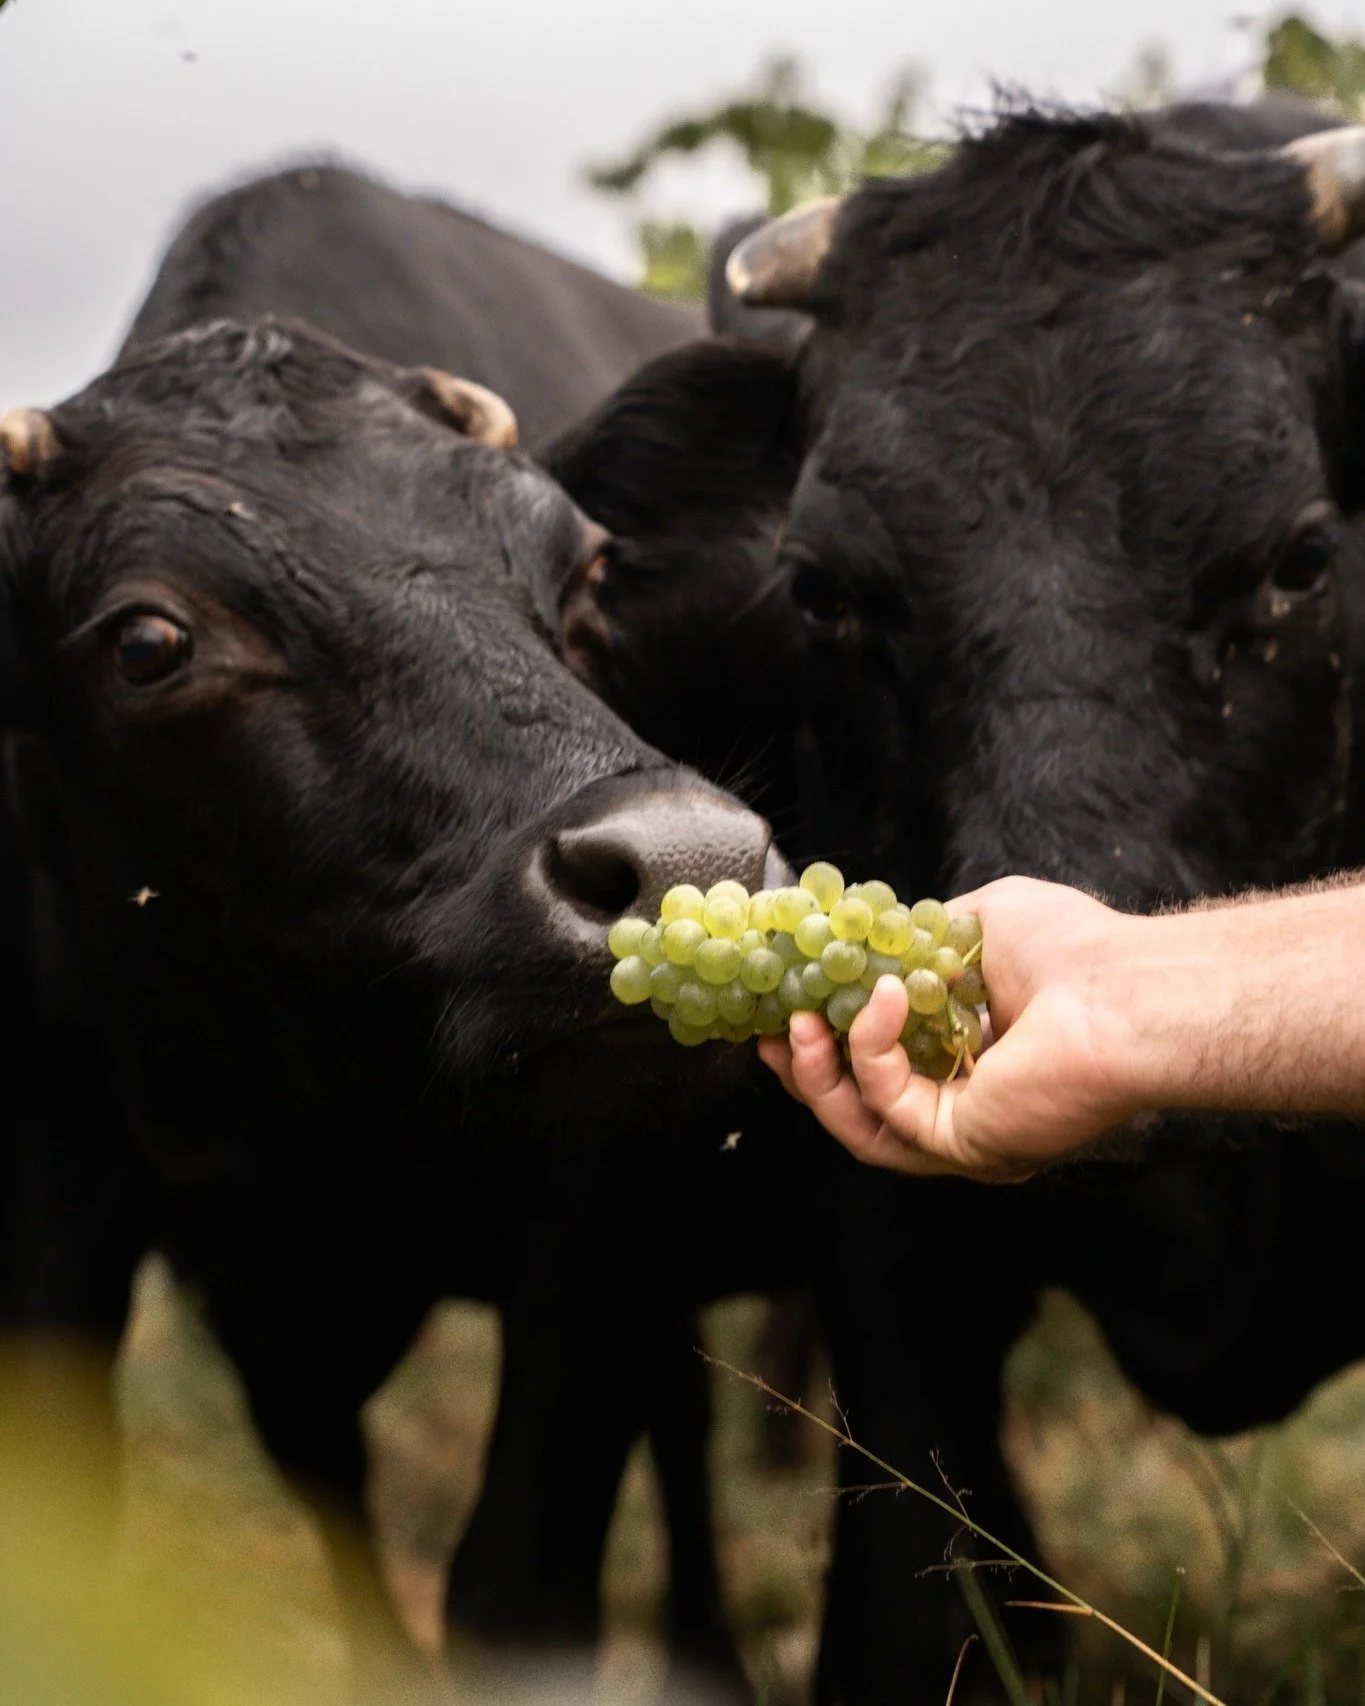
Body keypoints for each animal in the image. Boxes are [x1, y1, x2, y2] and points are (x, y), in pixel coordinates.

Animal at [0, 318, 783, 1697]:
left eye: (586, 570)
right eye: (146, 641)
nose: (690, 861)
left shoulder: (591, 1218)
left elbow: (516, 1582)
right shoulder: (82, 1193)